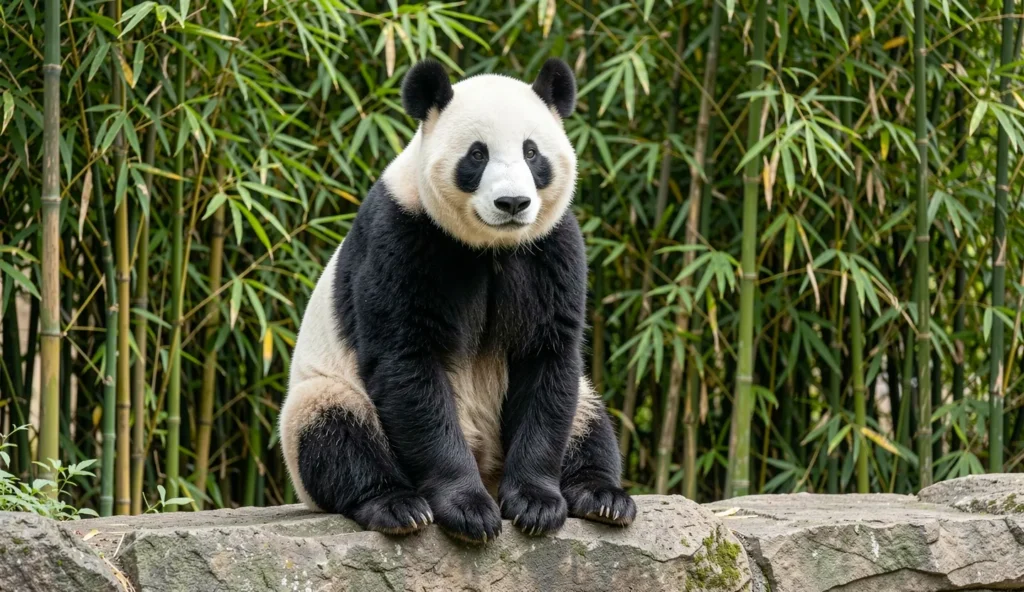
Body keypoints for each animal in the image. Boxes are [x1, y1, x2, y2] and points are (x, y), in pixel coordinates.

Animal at [279, 58, 635, 544]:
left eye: (531, 153)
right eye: (477, 155)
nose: (512, 202)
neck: (491, 246)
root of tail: (489, 470)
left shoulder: (550, 248)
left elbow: (547, 359)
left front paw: (536, 504)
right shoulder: (404, 235)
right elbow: (408, 363)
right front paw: (468, 510)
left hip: (574, 404)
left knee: (585, 414)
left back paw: (602, 497)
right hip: (323, 393)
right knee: (335, 429)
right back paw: (397, 506)